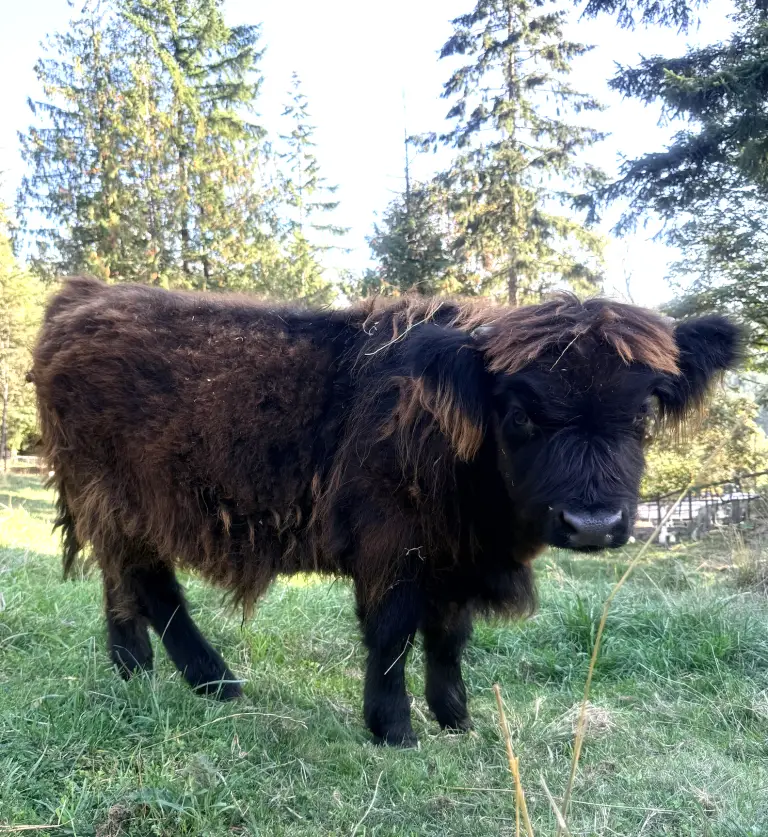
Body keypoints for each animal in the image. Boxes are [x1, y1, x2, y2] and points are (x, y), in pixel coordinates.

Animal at [31, 277, 741, 746]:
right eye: (519, 412)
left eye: (643, 412)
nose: (592, 525)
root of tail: (87, 295)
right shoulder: (393, 546)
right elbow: (394, 631)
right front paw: (394, 727)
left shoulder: (456, 558)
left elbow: (449, 637)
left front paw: (457, 719)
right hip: (124, 500)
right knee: (153, 585)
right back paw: (216, 682)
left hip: (111, 509)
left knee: (120, 584)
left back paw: (133, 670)